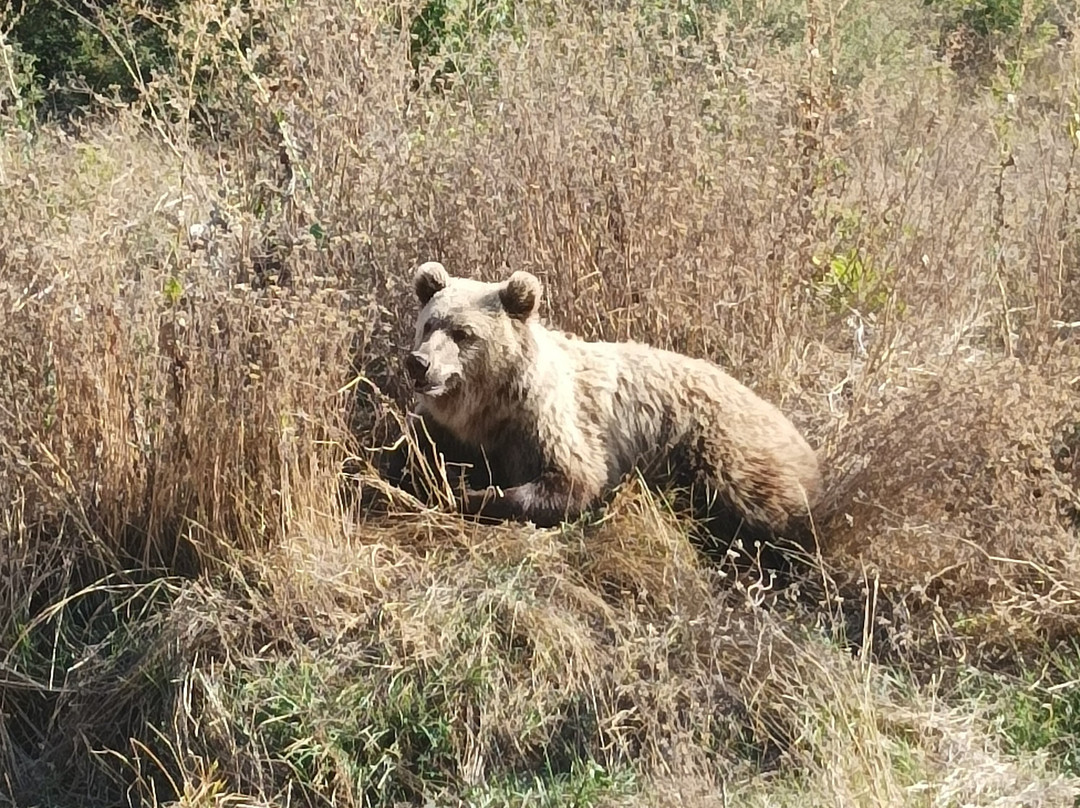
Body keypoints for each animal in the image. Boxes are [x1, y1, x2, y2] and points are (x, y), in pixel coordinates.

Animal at [401, 260, 824, 567]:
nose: (419, 363)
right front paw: (439, 478)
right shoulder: (449, 428)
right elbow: (414, 452)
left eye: (464, 333)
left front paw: (469, 493)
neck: (485, 410)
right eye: (429, 324)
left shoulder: (545, 423)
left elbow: (571, 483)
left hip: (724, 446)